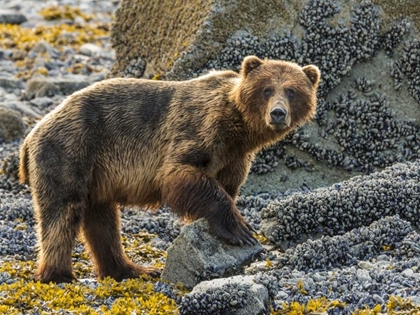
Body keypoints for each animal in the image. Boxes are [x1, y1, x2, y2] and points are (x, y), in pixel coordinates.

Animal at [19, 55, 320, 286]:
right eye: (267, 89)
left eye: (292, 91)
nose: (278, 113)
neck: (240, 131)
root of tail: (32, 133)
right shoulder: (199, 129)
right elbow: (180, 174)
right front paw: (240, 230)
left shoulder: (234, 158)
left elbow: (226, 186)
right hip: (70, 151)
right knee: (62, 213)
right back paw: (58, 275)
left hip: (97, 174)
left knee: (102, 221)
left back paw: (130, 269)